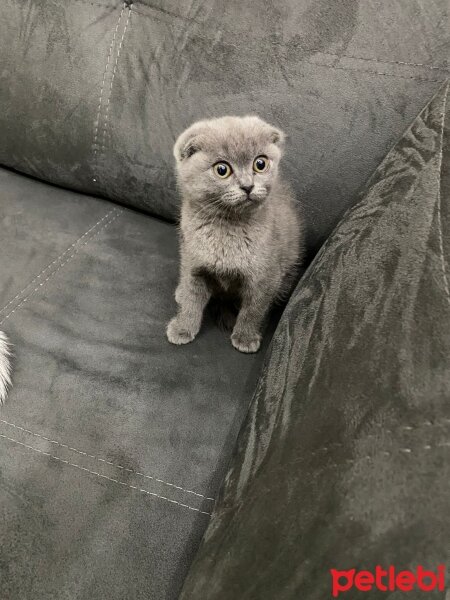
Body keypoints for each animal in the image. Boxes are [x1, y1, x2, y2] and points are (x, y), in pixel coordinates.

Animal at [167, 115, 304, 354]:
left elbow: (254, 309)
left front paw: (245, 337)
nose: (248, 186)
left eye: (260, 164)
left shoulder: (266, 276)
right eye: (222, 169)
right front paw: (183, 327)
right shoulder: (194, 264)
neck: (227, 228)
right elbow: (192, 298)